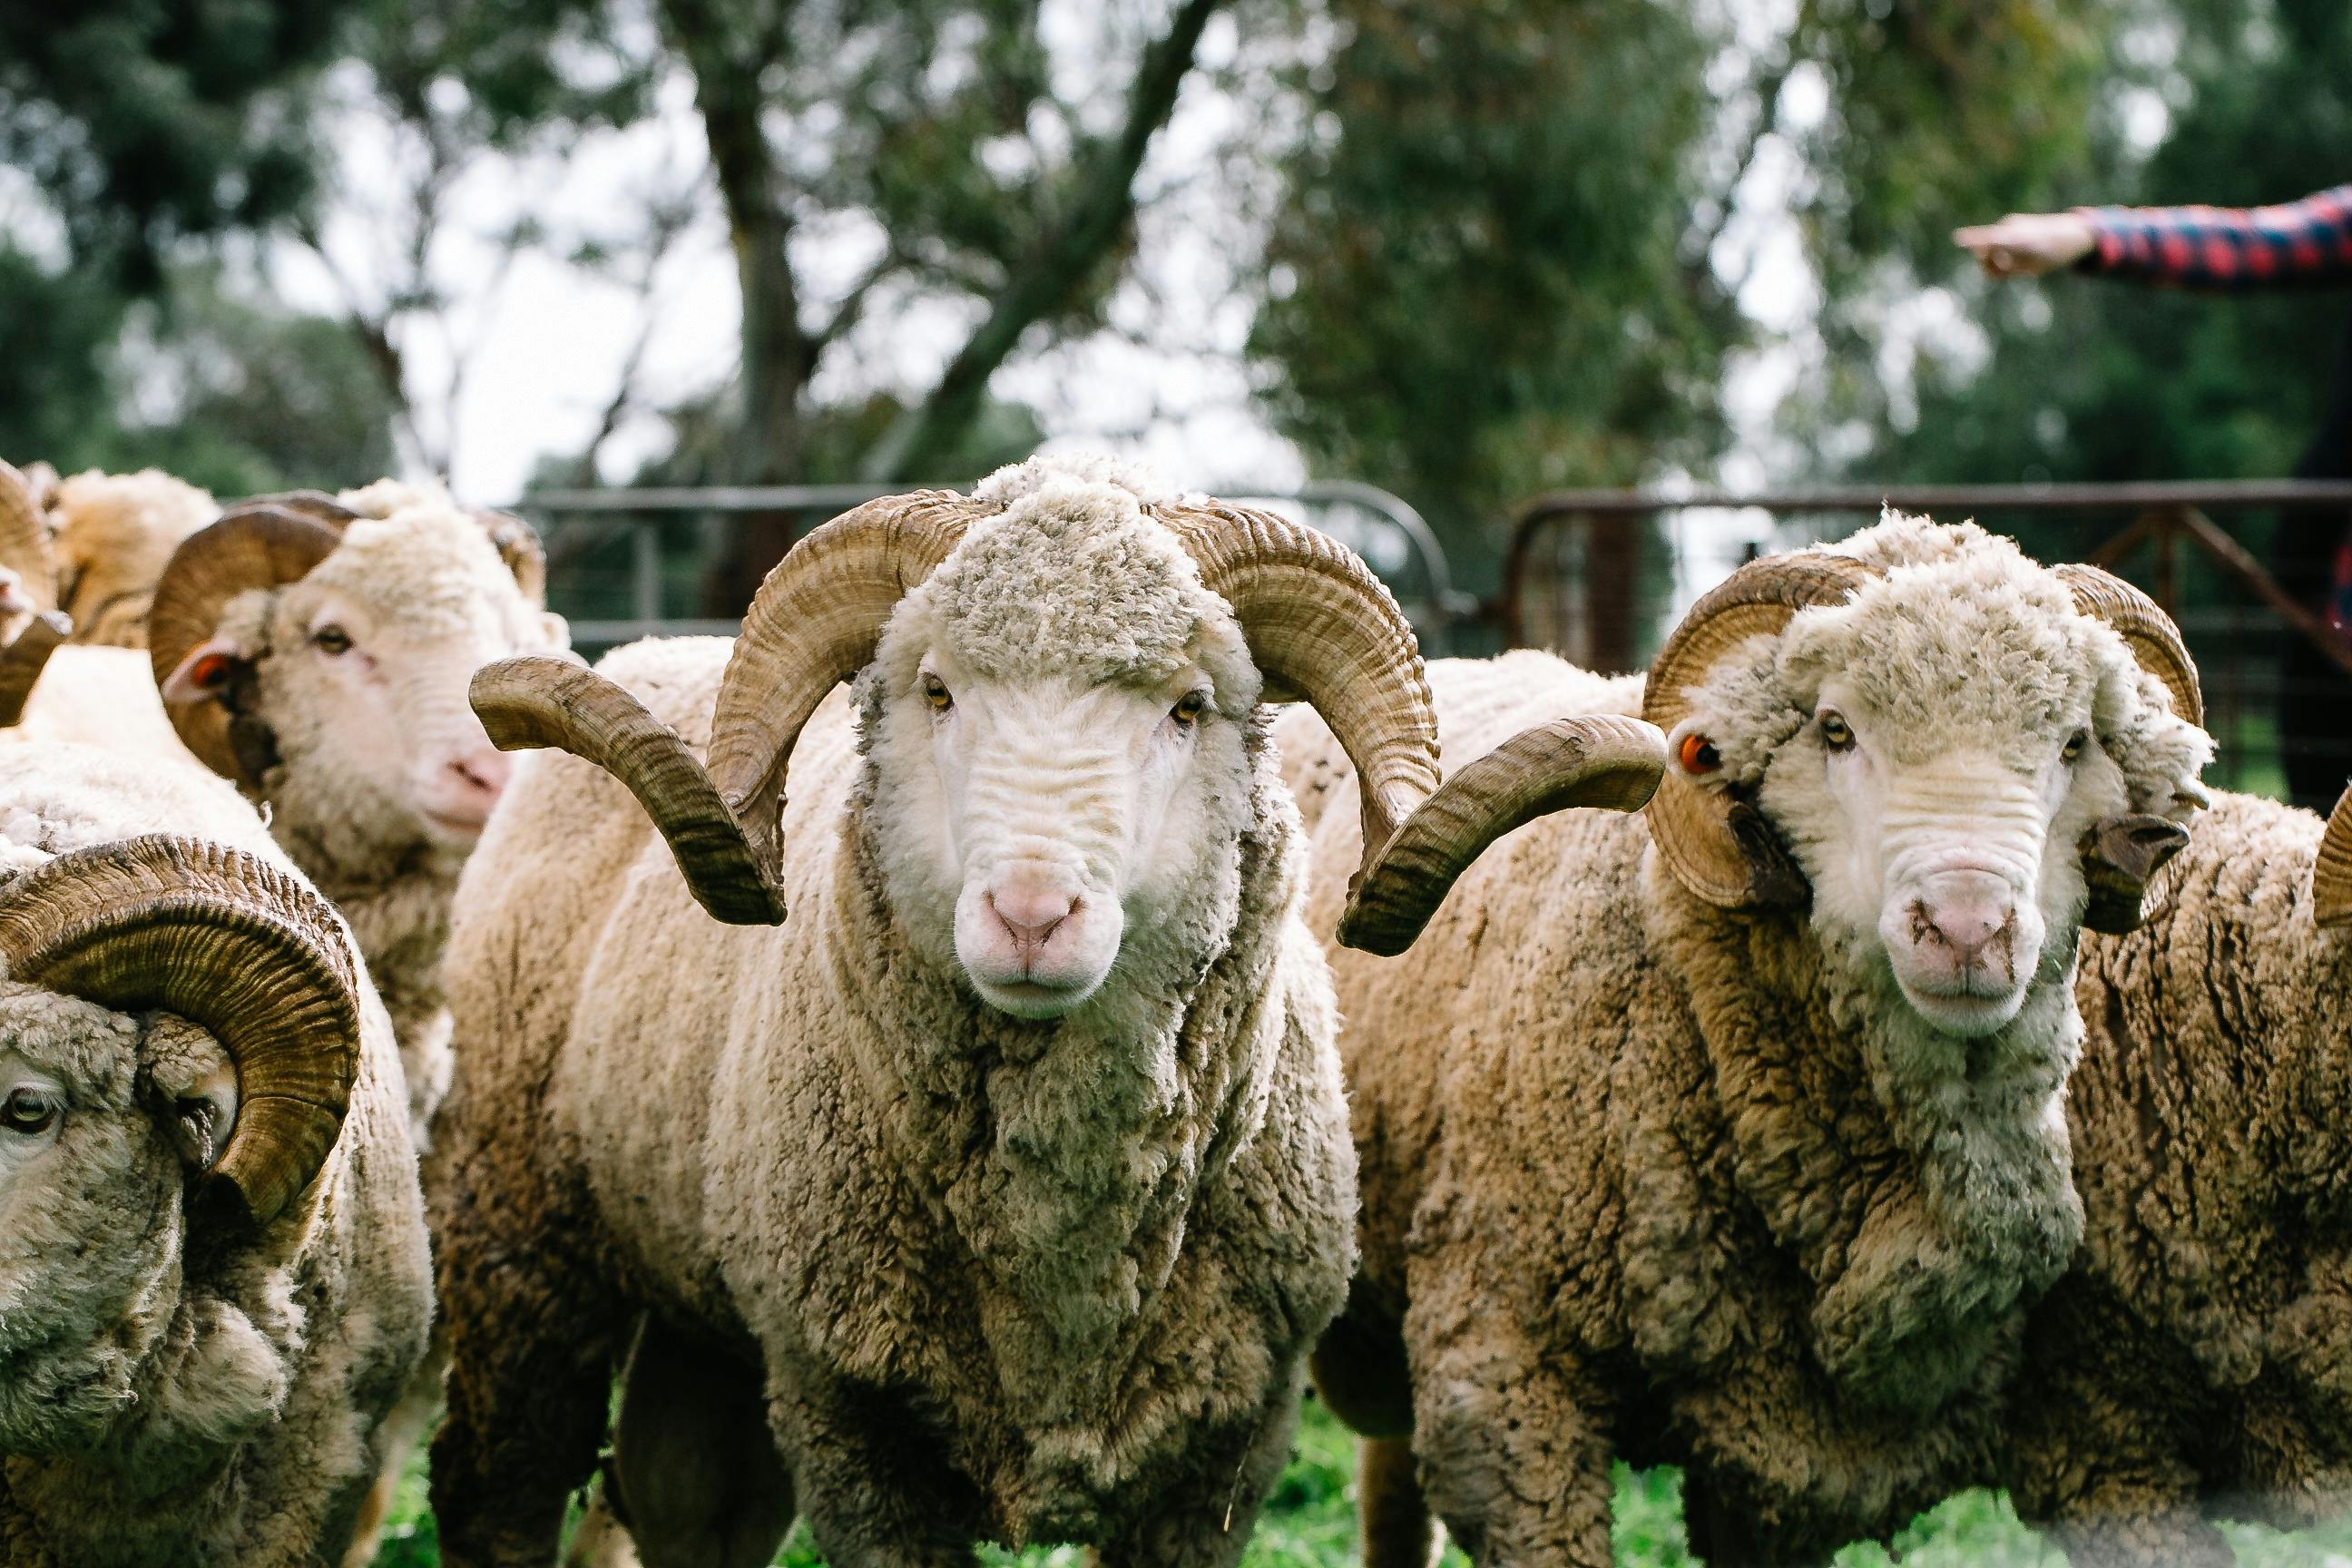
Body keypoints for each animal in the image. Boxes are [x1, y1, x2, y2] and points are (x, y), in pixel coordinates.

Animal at [422, 457, 1664, 1568]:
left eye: (1188, 707)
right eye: (935, 691)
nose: (1029, 916)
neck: (1061, 1266)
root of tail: (656, 645)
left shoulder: (1227, 1450)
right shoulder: (852, 1430)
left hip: (706, 1327)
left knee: (688, 1506)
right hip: (521, 1252)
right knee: (501, 1492)